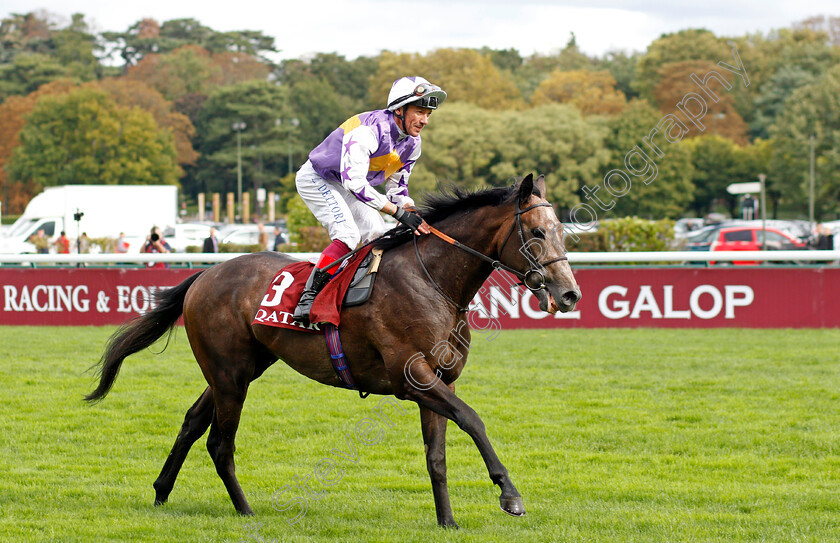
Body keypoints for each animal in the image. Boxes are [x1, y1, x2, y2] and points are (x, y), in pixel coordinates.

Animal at [87, 173, 584, 528]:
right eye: (536, 232)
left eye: (562, 231)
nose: (569, 295)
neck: (434, 281)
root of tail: (205, 275)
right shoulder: (412, 378)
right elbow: (473, 420)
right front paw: (509, 495)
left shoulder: (441, 379)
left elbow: (437, 455)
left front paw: (447, 521)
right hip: (230, 375)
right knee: (220, 443)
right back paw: (245, 510)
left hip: (241, 368)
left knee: (193, 422)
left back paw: (161, 491)